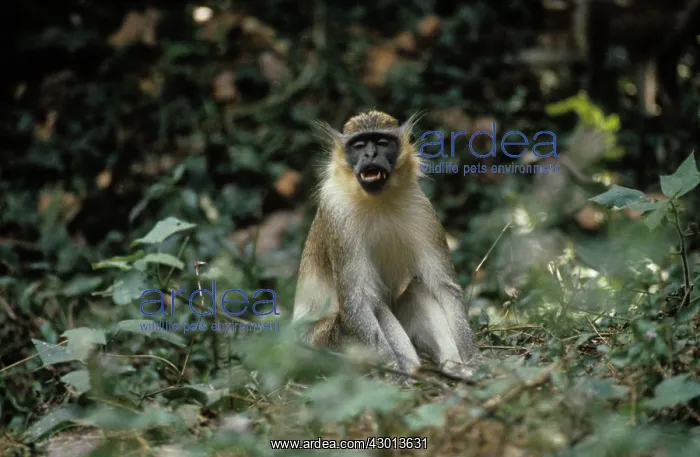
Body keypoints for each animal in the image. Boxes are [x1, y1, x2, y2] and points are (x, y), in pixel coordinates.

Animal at [291, 110, 478, 380]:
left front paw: (472, 359)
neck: (376, 201)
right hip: (319, 345)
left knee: (415, 289)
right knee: (373, 305)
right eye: (359, 145)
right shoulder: (336, 211)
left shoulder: (422, 208)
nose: (370, 155)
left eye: (381, 142)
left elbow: (444, 287)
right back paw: (407, 371)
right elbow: (356, 302)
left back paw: (452, 367)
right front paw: (392, 370)